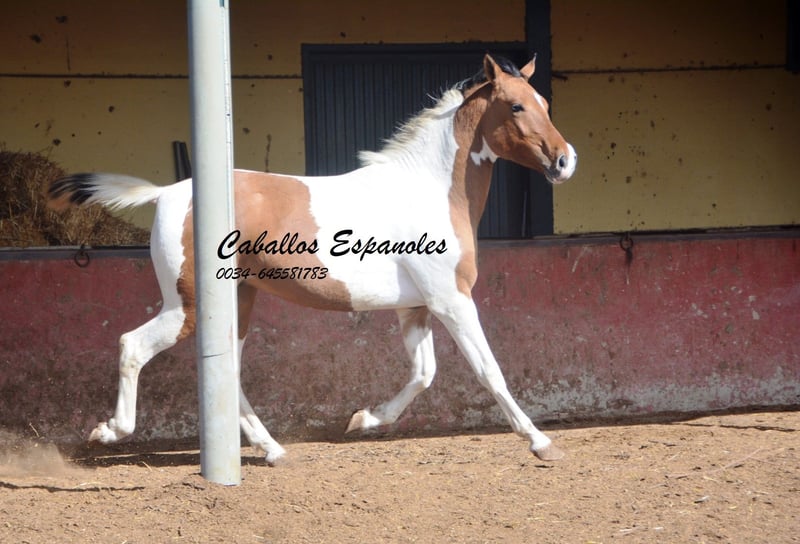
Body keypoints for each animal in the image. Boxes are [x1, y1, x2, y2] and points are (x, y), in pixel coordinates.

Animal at [49, 54, 577, 465]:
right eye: (516, 105)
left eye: (547, 104)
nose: (565, 161)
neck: (425, 189)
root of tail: (165, 194)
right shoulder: (451, 300)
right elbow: (489, 371)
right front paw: (540, 442)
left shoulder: (416, 307)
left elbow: (423, 374)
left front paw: (363, 419)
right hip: (188, 306)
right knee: (132, 346)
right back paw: (109, 431)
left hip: (236, 303)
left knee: (228, 373)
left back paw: (272, 450)